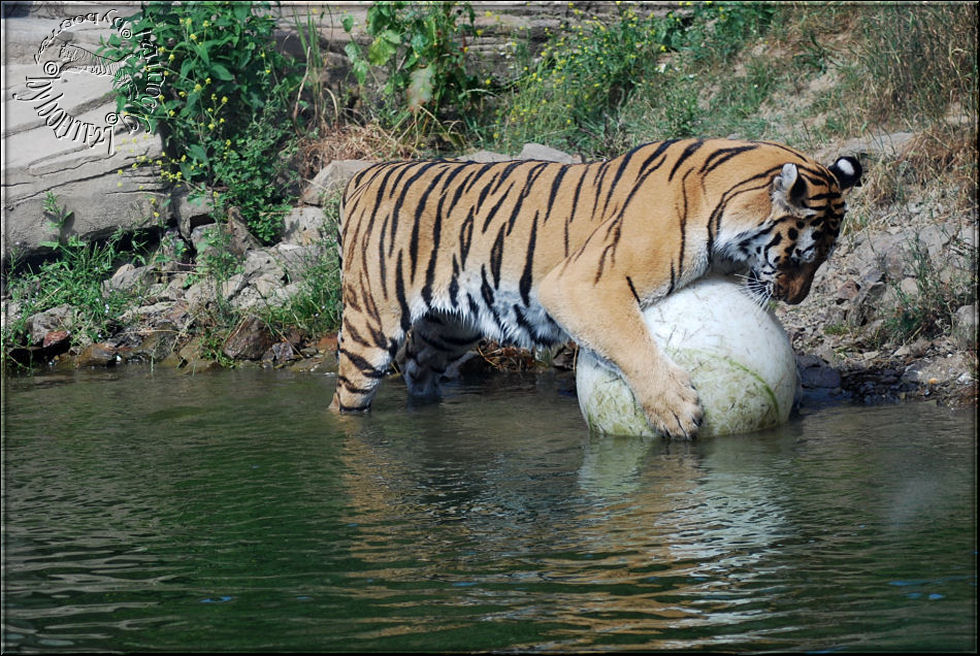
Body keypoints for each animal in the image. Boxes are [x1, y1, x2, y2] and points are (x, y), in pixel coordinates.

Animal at [328, 137, 856, 440]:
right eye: (802, 256)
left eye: (821, 260)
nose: (795, 299)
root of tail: (366, 174)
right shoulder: (580, 284)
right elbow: (631, 340)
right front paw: (675, 409)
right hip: (369, 326)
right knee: (347, 398)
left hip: (449, 328)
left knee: (417, 368)